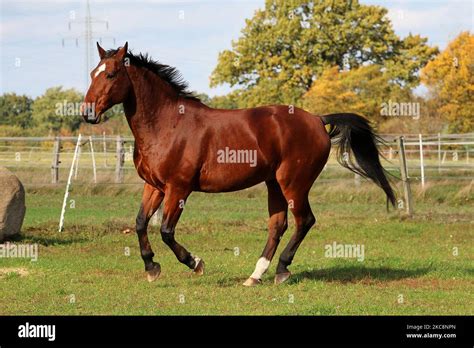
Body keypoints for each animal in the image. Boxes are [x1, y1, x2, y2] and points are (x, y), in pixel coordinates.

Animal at [82, 42, 396, 286]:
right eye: (92, 73)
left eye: (110, 74)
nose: (87, 113)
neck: (167, 124)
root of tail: (318, 120)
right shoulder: (155, 186)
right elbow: (139, 223)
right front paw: (151, 268)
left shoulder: (178, 189)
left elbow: (166, 231)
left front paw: (195, 263)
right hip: (273, 184)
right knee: (278, 225)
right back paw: (255, 275)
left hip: (294, 184)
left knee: (304, 221)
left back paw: (282, 270)